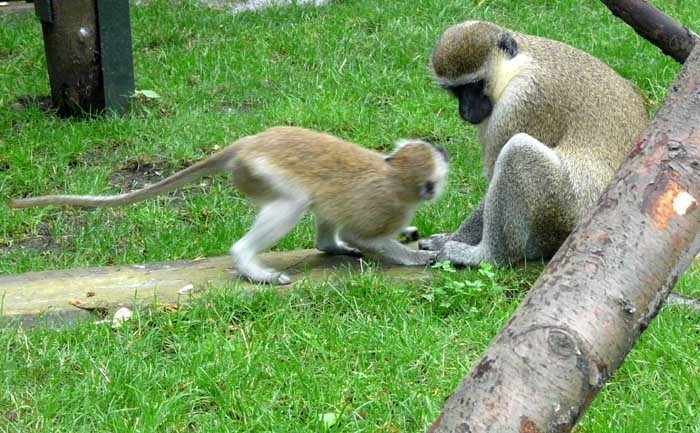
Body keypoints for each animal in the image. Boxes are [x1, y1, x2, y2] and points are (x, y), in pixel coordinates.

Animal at [9, 125, 448, 284]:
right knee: (293, 201)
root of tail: (248, 143)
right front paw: (413, 256)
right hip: (259, 171)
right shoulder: (388, 205)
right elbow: (365, 234)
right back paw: (249, 264)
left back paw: (329, 245)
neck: (394, 172)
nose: (444, 150)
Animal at [418, 20, 648, 266]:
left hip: (564, 210)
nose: (466, 111)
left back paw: (488, 256)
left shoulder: (524, 102)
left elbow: (493, 176)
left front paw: (455, 241)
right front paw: (446, 238)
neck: (520, 65)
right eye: (456, 90)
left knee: (517, 152)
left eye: (476, 85)